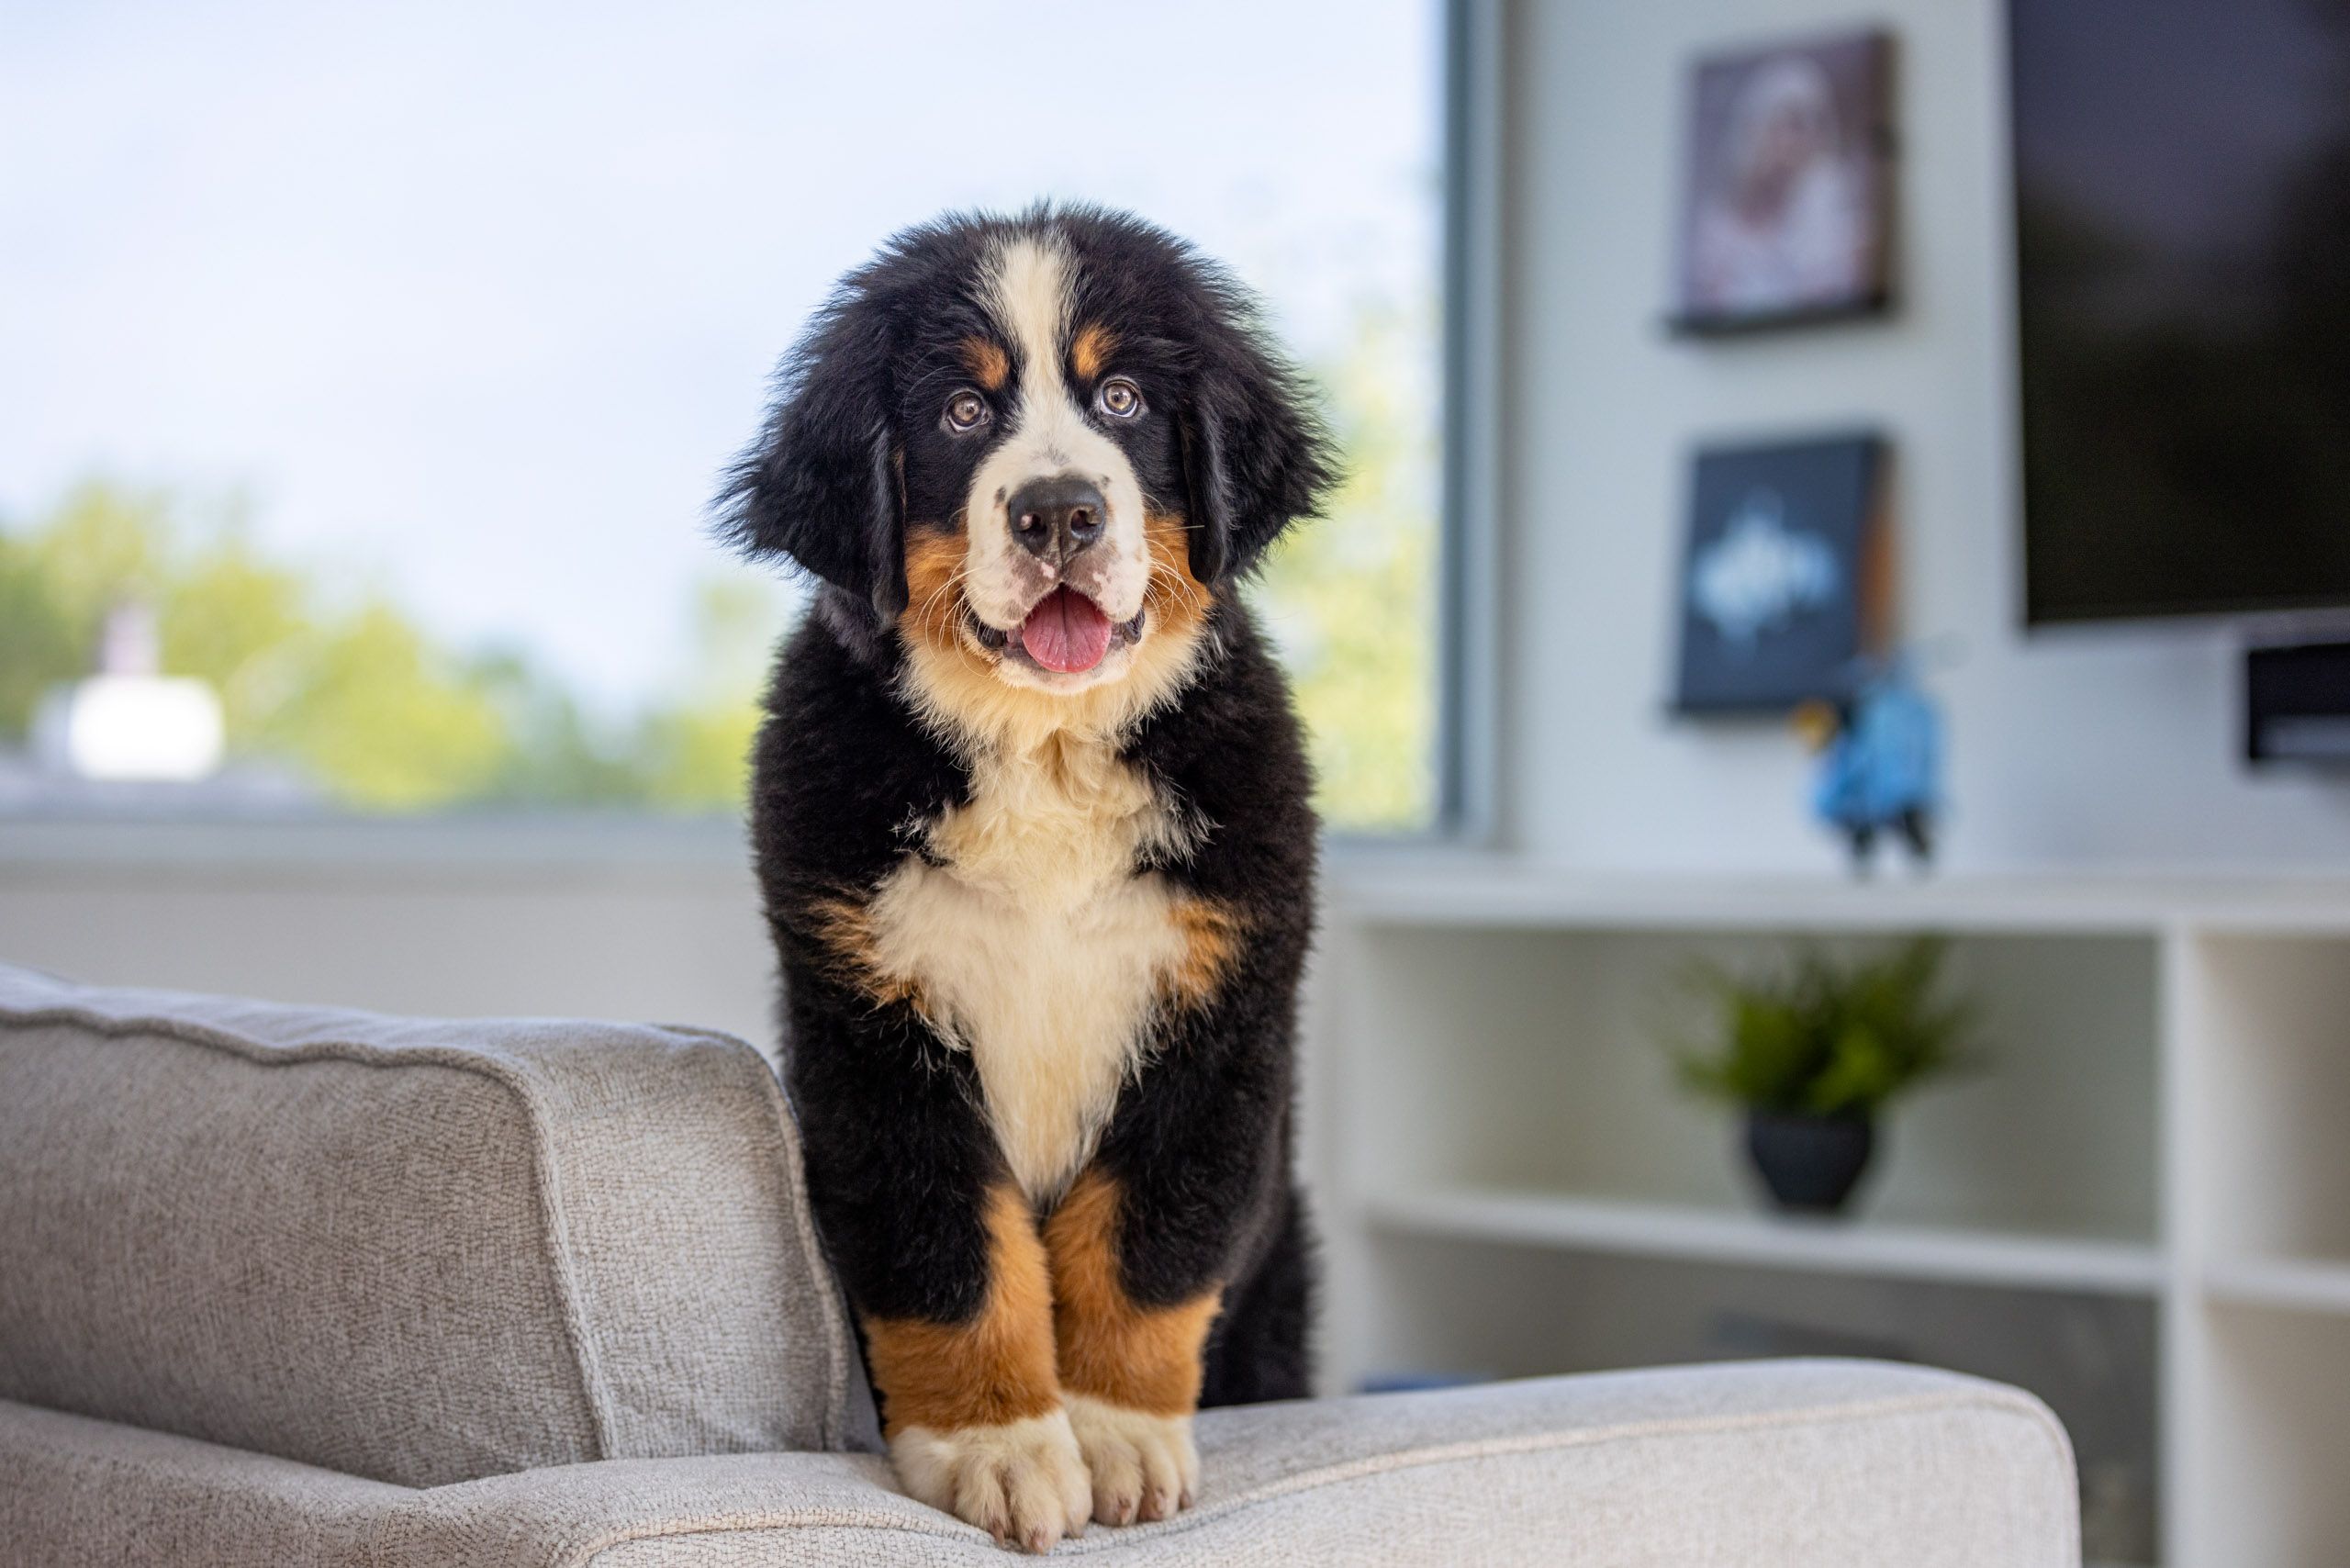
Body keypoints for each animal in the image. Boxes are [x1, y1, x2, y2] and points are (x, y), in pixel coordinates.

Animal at [723, 202, 1335, 1551]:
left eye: (1120, 398)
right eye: (961, 411)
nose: (1058, 512)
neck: (1046, 753)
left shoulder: (1214, 1025)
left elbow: (1143, 1244)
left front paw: (1116, 1435)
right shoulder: (875, 1033)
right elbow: (953, 1252)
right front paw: (997, 1446)